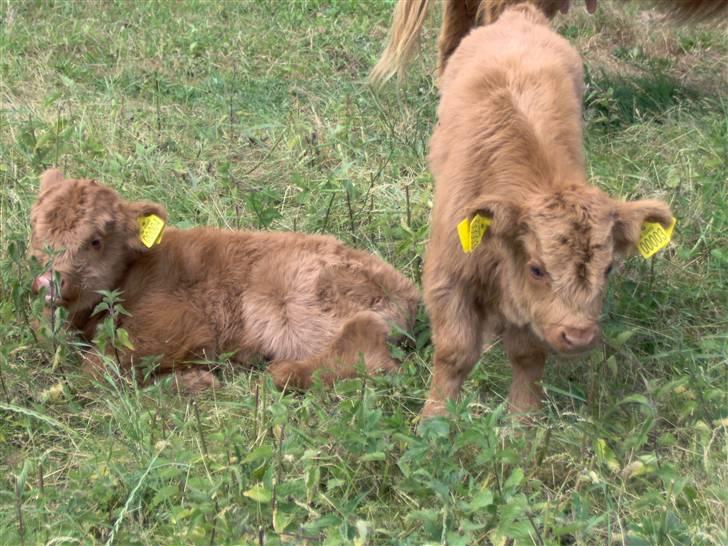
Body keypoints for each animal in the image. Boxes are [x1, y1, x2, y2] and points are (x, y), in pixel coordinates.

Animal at [30, 170, 419, 392]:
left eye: (95, 240)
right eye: (34, 226)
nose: (47, 282)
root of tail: (407, 291)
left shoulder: (180, 326)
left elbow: (98, 368)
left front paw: (193, 383)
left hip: (288, 303)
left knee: (368, 350)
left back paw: (280, 371)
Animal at [409, 5, 675, 417]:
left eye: (609, 268)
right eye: (537, 268)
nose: (578, 335)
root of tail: (518, 15)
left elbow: (527, 356)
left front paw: (523, 419)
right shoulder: (446, 278)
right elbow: (455, 353)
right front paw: (434, 419)